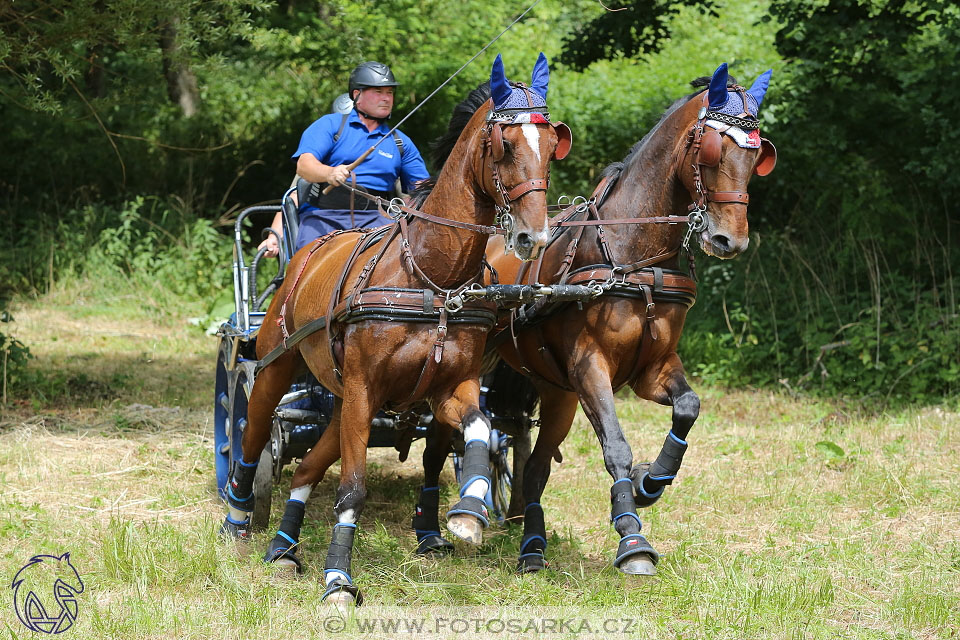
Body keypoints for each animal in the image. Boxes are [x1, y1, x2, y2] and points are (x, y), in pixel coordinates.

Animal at [221, 53, 568, 604]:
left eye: (553, 144)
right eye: (505, 145)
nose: (533, 236)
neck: (432, 277)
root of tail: (306, 255)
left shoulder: (449, 386)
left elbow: (480, 428)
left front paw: (468, 511)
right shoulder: (365, 388)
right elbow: (353, 488)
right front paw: (338, 578)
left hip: (340, 399)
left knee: (307, 466)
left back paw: (284, 548)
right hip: (279, 365)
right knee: (252, 429)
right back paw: (237, 515)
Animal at [478, 63, 772, 576]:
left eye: (758, 157)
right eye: (713, 151)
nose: (729, 240)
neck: (633, 252)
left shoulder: (652, 368)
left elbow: (688, 406)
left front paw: (650, 481)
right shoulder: (589, 365)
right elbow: (615, 445)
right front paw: (632, 536)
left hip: (557, 393)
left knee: (534, 468)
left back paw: (532, 546)